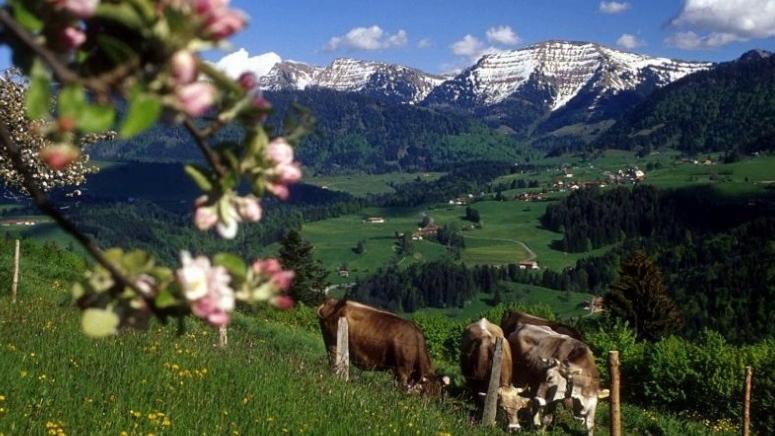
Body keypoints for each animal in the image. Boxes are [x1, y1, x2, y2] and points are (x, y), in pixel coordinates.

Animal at [316, 300, 448, 396]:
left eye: (437, 396)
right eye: (425, 394)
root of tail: (333, 301)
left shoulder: (396, 371)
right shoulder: (402, 370)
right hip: (334, 345)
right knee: (334, 364)